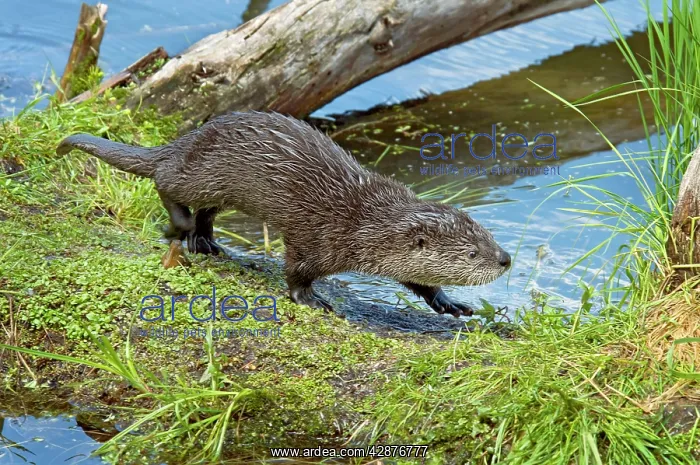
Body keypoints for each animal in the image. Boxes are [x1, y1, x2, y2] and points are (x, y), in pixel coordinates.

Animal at [57, 112, 511, 317]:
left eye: (489, 238)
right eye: (472, 253)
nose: (506, 259)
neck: (363, 222)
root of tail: (183, 140)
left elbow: (419, 282)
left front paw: (449, 303)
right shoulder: (317, 238)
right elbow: (296, 271)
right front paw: (312, 299)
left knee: (203, 210)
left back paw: (205, 242)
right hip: (202, 174)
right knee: (165, 182)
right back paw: (182, 227)